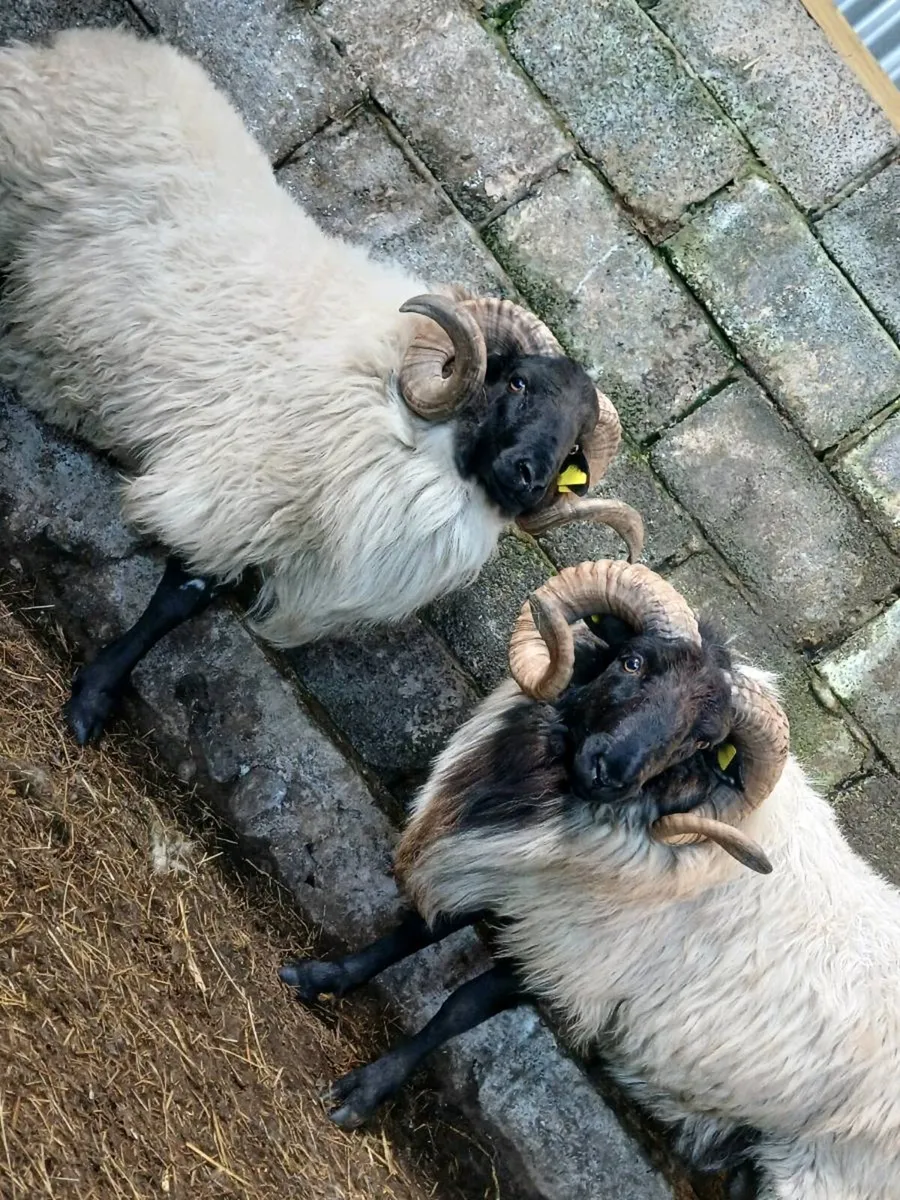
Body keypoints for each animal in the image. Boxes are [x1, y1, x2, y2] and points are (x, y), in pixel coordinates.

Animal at [0, 26, 643, 745]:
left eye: (573, 454)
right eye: (519, 384)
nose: (529, 477)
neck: (407, 431)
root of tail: (93, 47)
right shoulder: (233, 493)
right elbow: (176, 600)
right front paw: (94, 697)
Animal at [281, 560, 900, 1199]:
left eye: (702, 740)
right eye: (634, 662)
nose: (611, 771)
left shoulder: (570, 963)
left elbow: (458, 1009)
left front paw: (365, 1091)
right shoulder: (519, 885)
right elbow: (417, 930)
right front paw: (323, 976)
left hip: (819, 1177)